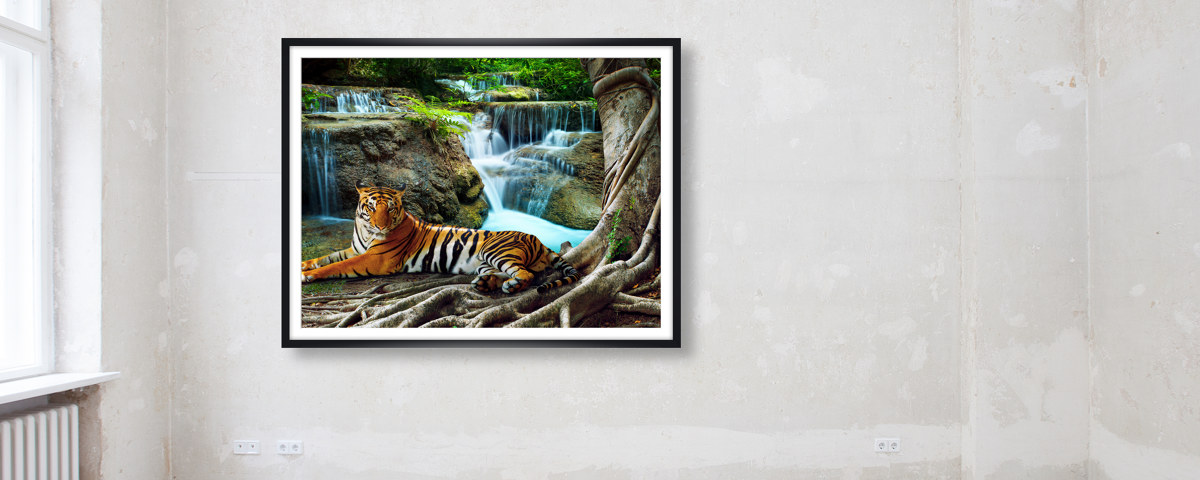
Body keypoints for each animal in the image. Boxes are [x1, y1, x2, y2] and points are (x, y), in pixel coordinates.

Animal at [301, 180, 580, 294]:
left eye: (389, 209)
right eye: (370, 208)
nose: (380, 225)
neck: (366, 231)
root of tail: (540, 240)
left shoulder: (374, 259)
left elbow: (337, 266)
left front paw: (307, 276)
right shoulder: (356, 250)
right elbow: (326, 257)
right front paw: (304, 265)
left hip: (495, 251)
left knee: (526, 274)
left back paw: (509, 286)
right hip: (483, 262)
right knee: (507, 273)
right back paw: (485, 284)